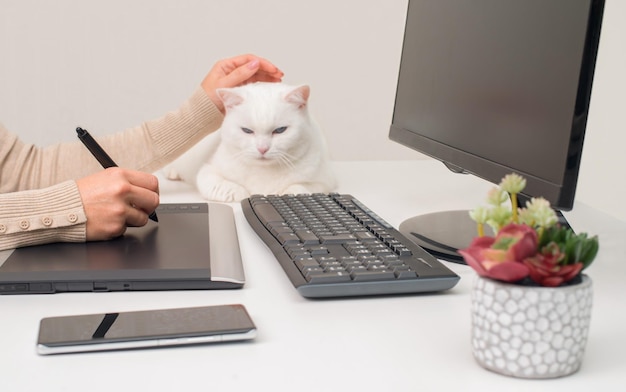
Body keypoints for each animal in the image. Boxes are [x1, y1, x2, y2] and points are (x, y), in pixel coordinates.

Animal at [163, 81, 334, 201]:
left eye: (280, 130)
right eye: (247, 131)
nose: (262, 148)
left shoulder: (324, 181)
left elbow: (299, 188)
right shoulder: (208, 171)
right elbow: (231, 189)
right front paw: (246, 194)